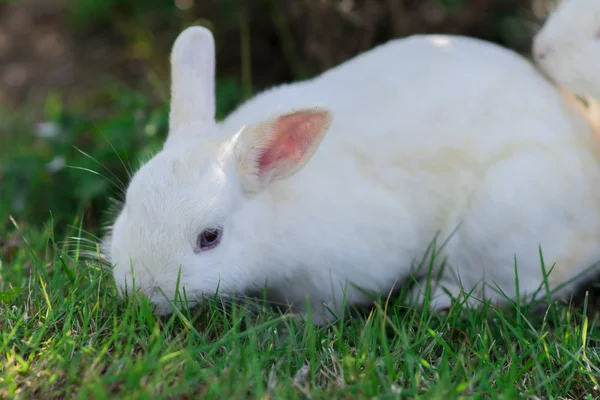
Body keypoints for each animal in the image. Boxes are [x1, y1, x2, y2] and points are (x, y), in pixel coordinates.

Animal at [102, 25, 600, 324]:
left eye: (210, 238)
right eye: (128, 203)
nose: (141, 292)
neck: (278, 210)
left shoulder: (342, 273)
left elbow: (326, 309)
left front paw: (290, 325)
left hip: (503, 223)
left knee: (531, 286)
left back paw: (435, 298)